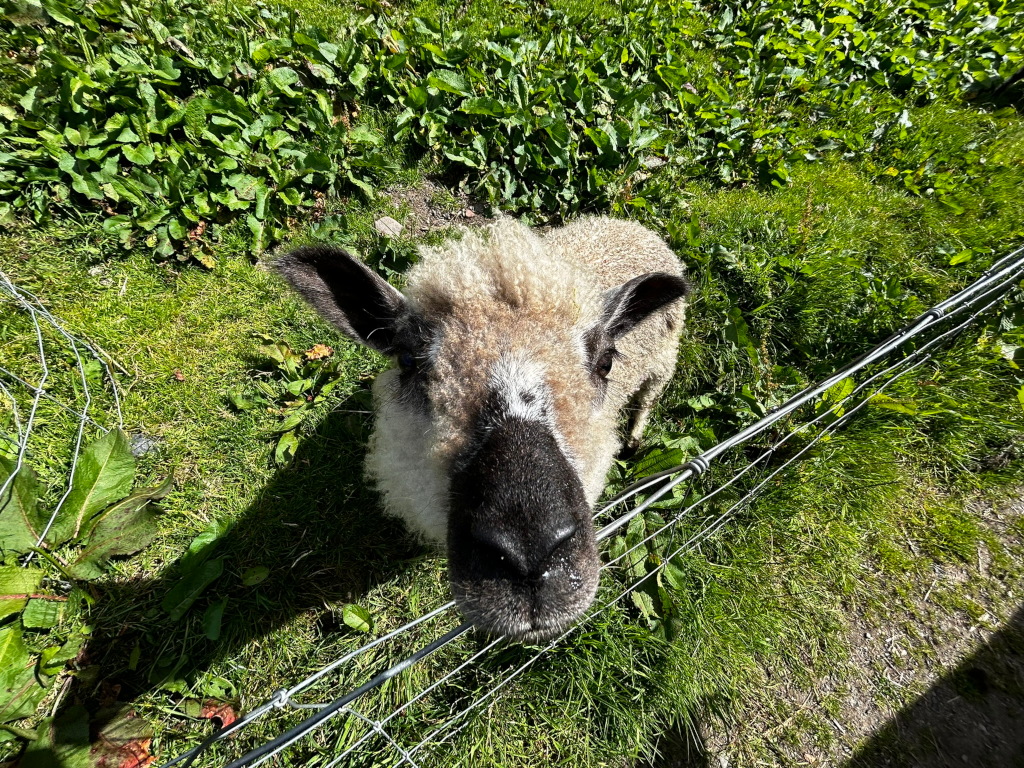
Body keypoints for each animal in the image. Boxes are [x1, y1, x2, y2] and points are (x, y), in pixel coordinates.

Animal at [277, 216, 688, 642]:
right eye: (407, 360)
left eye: (606, 362)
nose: (528, 555)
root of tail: (627, 224)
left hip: (664, 358)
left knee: (649, 395)